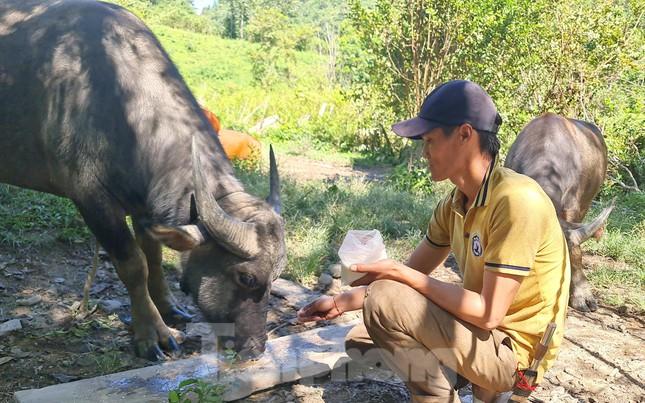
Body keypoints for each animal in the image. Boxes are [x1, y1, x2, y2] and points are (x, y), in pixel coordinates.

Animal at [0, 0, 286, 360]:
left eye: (277, 276)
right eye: (246, 277)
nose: (254, 348)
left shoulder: (144, 206)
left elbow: (154, 256)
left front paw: (168, 308)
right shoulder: (92, 200)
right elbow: (134, 265)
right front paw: (152, 335)